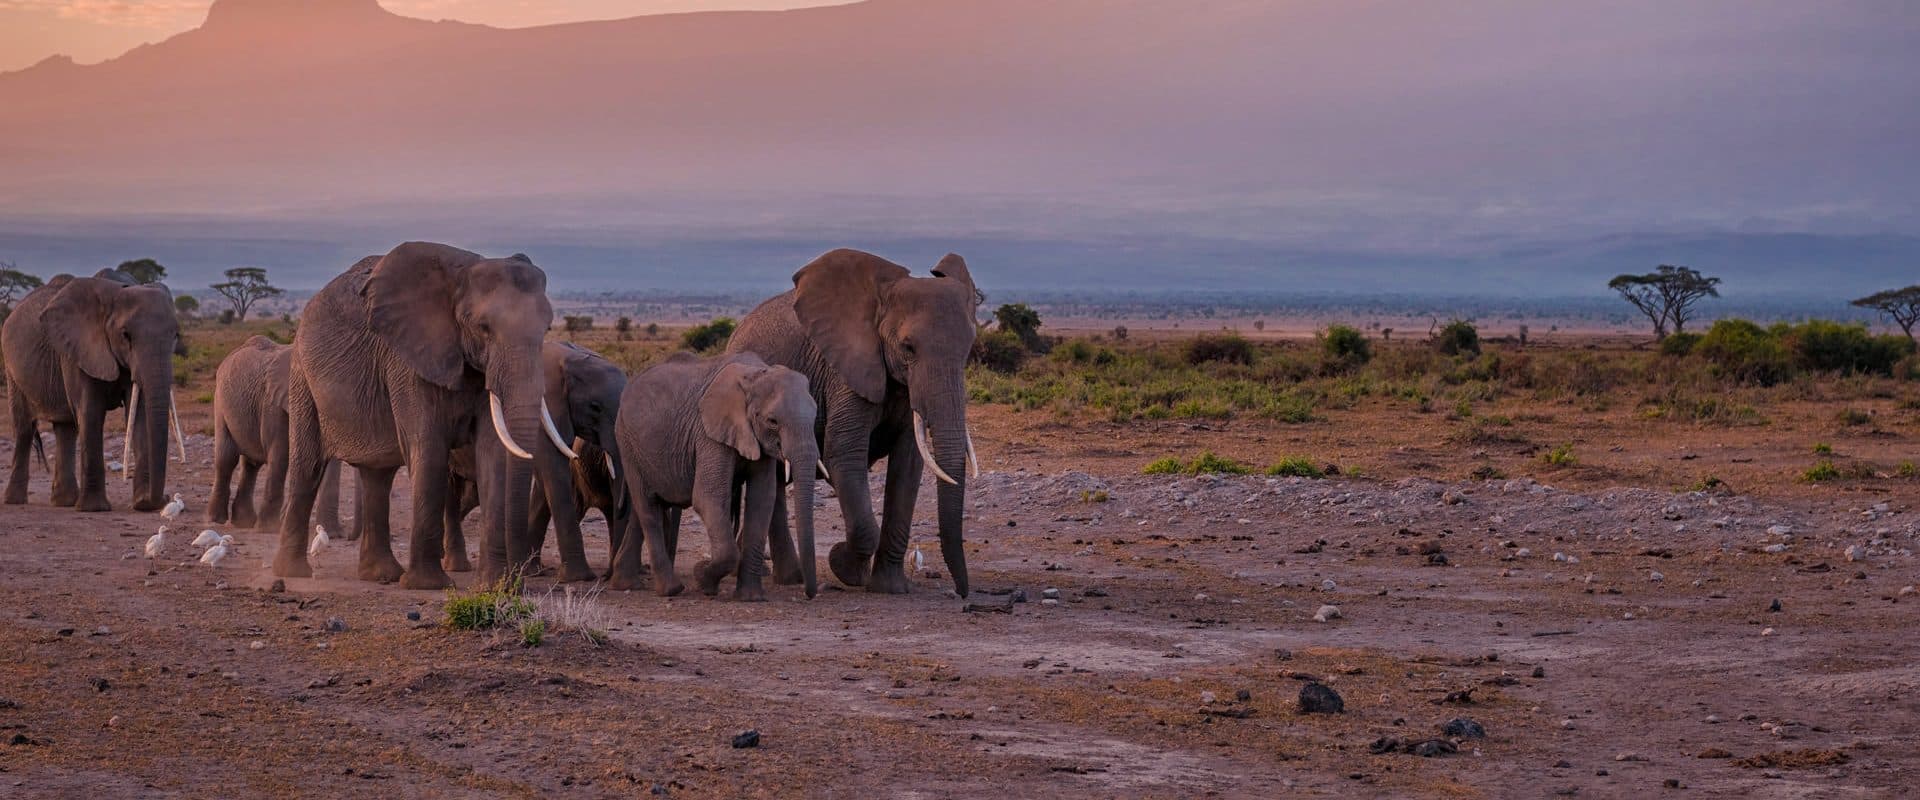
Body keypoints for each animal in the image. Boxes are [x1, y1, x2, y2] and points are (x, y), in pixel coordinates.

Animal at [3, 272, 184, 512]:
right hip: (11, 368)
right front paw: (94, 508)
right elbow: (90, 411)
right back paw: (15, 501)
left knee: (65, 428)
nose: (163, 498)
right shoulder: (78, 350)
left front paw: (142, 503)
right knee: (24, 428)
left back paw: (64, 502)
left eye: (176, 335)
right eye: (126, 335)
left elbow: (139, 413)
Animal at [207, 335, 352, 534]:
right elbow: (280, 454)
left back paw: (244, 522)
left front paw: (330, 533)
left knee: (251, 465)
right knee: (227, 458)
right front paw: (268, 528)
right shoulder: (274, 405)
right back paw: (217, 520)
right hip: (220, 402)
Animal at [269, 242, 561, 590]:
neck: (462, 274)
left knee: (378, 476)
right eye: (484, 328)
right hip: (302, 377)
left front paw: (492, 586)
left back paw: (381, 575)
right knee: (308, 466)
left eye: (547, 328)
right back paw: (293, 572)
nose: (516, 580)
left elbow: (493, 453)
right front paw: (428, 585)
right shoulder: (408, 362)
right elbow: (429, 449)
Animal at [612, 351, 819, 600]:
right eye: (773, 421)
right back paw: (671, 590)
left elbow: (762, 501)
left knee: (642, 508)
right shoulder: (708, 433)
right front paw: (702, 578)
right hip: (626, 443)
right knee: (648, 508)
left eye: (816, 416)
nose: (809, 594)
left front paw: (750, 598)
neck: (754, 375)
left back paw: (625, 584)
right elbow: (707, 497)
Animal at [726, 249, 980, 596]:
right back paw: (790, 577)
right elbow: (844, 454)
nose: (962, 592)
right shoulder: (845, 371)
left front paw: (889, 588)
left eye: (968, 349)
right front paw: (844, 566)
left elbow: (908, 464)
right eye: (908, 348)